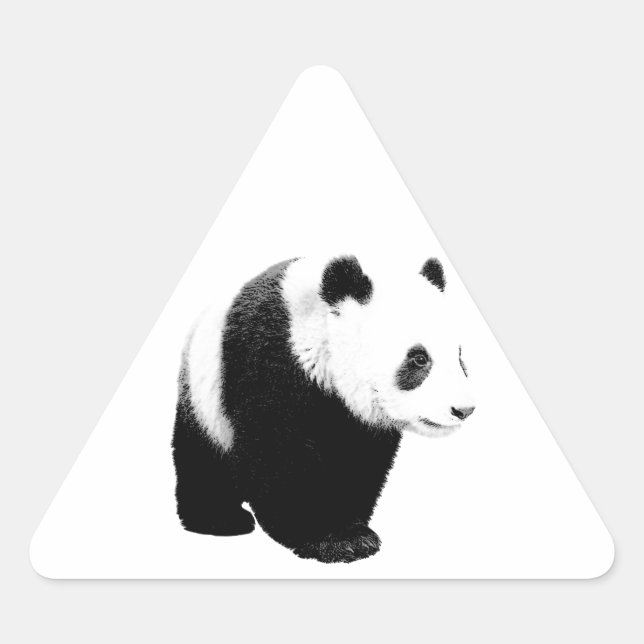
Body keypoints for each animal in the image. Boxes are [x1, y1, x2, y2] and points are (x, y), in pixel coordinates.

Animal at [172, 254, 475, 563]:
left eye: (459, 356)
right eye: (418, 358)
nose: (463, 409)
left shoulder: (356, 419)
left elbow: (359, 461)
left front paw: (351, 528)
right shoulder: (267, 360)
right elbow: (279, 452)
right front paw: (330, 539)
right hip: (204, 400)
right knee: (203, 460)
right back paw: (220, 519)